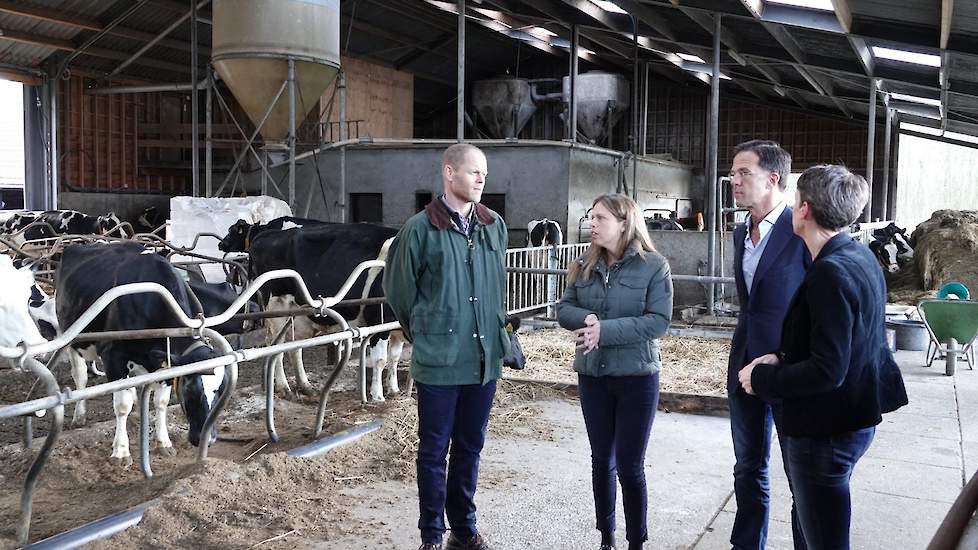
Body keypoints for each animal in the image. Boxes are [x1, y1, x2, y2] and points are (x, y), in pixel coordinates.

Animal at [57, 243, 231, 466]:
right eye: (190, 390)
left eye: (222, 391)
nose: (207, 439)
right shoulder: (113, 355)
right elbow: (121, 405)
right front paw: (121, 452)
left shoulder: (165, 360)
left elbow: (161, 402)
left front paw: (163, 443)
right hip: (71, 338)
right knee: (80, 377)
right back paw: (79, 416)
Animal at [229, 219, 404, 402]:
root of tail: (265, 234)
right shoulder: (378, 319)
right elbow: (381, 360)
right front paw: (378, 396)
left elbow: (395, 357)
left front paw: (394, 389)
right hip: (277, 308)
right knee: (275, 347)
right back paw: (284, 388)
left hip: (297, 315)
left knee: (295, 348)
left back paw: (305, 386)